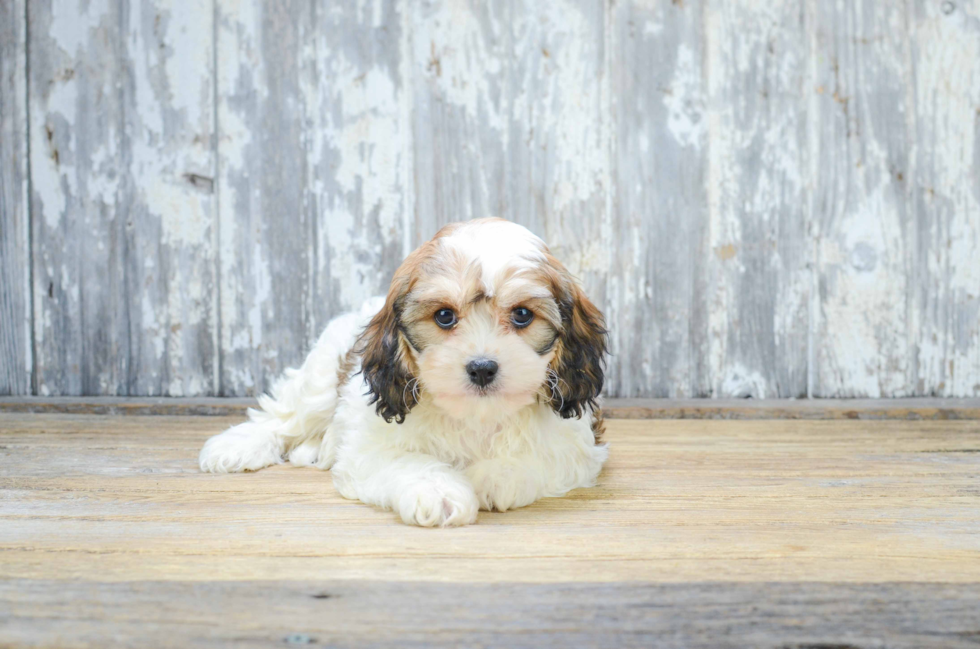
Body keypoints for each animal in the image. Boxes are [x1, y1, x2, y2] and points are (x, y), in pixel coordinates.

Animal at [200, 219, 608, 528]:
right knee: (284, 416)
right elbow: (408, 462)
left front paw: (494, 476)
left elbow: (543, 456)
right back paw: (235, 447)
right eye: (444, 316)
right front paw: (440, 491)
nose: (482, 368)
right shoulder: (370, 445)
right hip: (321, 374)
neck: (474, 415)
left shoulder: (579, 442)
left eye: (522, 314)